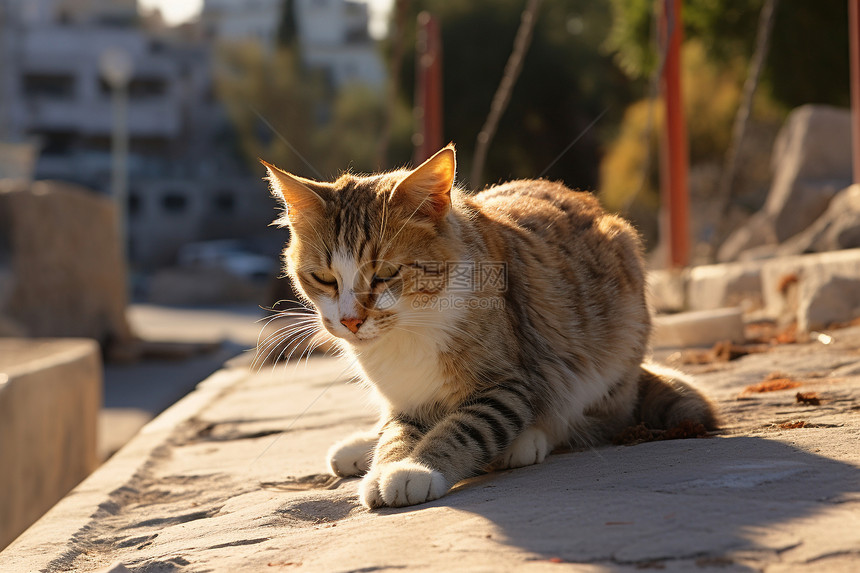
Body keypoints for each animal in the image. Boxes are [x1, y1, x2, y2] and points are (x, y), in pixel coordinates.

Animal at [264, 145, 720, 508]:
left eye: (385, 275)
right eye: (324, 278)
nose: (350, 320)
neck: (410, 328)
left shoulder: (509, 384)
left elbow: (461, 429)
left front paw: (415, 469)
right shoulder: (407, 399)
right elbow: (395, 433)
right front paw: (383, 463)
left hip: (612, 346)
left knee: (592, 418)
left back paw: (527, 441)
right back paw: (360, 447)